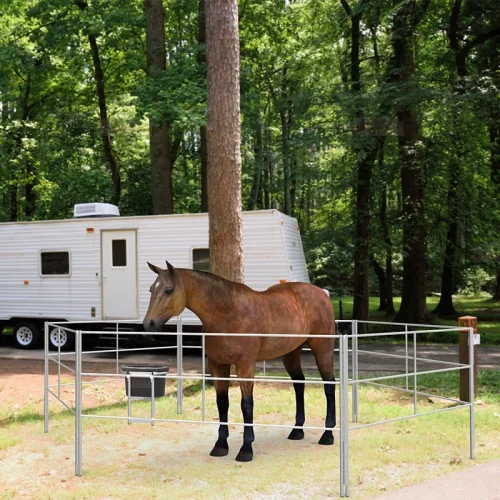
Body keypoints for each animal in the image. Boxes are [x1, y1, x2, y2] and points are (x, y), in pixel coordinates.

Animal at [143, 262, 336, 460]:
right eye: (151, 289)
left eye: (169, 290)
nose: (149, 324)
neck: (227, 313)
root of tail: (322, 293)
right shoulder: (217, 365)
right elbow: (222, 403)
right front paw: (220, 445)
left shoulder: (245, 365)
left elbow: (247, 404)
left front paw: (246, 448)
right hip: (291, 354)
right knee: (299, 384)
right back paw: (297, 430)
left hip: (322, 349)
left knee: (329, 386)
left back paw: (327, 434)